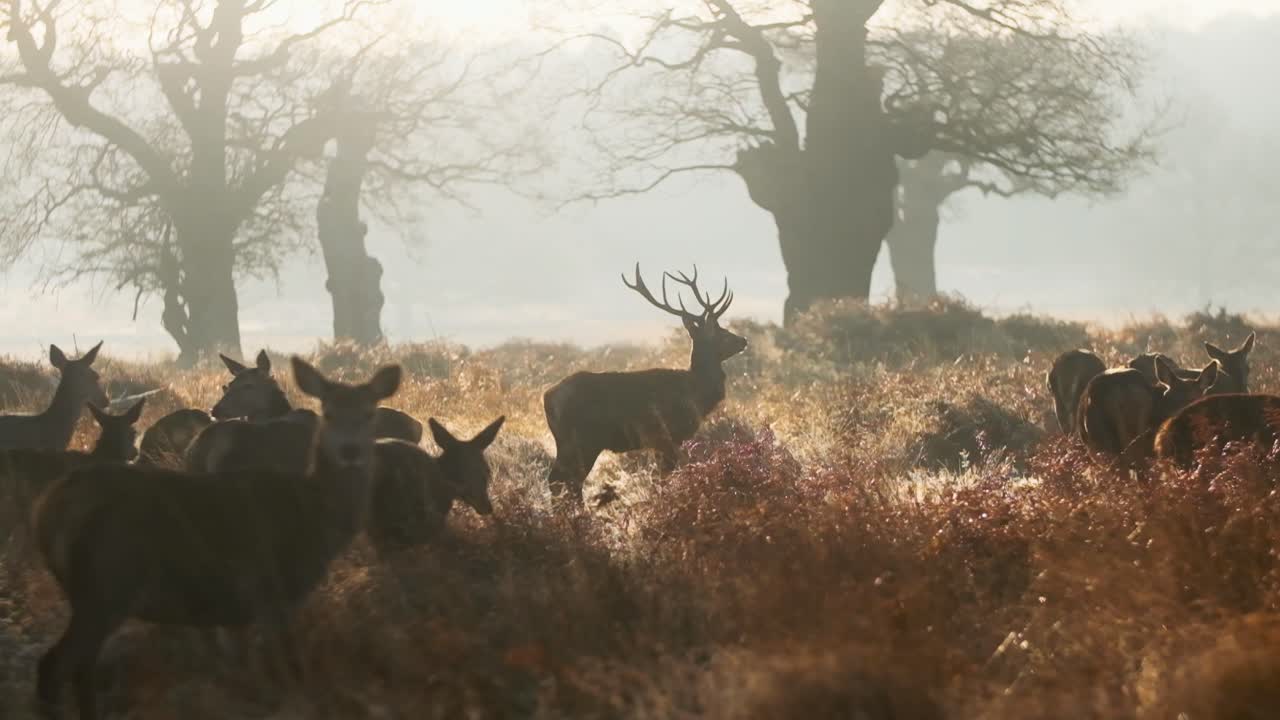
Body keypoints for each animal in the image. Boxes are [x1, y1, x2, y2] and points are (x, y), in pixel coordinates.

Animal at [31, 357, 401, 720]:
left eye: (370, 413)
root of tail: (48, 510)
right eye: (229, 384)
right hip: (106, 586)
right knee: (56, 665)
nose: (350, 450)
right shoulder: (273, 591)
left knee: (80, 667)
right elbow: (286, 670)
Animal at [544, 264, 748, 503]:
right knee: (565, 480)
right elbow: (666, 477)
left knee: (560, 480)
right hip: (582, 440)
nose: (743, 340)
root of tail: (547, 397)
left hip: (569, 442)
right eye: (719, 333)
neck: (695, 394)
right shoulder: (668, 435)